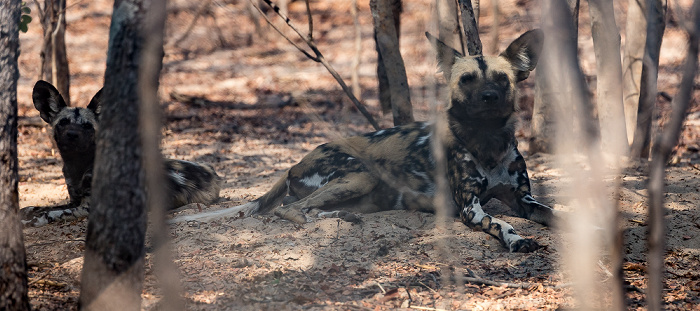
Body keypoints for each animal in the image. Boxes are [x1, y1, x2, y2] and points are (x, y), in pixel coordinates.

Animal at [19, 80, 221, 227]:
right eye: (63, 123)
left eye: (87, 126)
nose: (72, 135)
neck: (78, 166)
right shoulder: (74, 200)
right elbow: (45, 206)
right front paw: (27, 211)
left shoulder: (87, 207)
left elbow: (53, 213)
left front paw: (34, 220)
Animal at [172, 29, 560, 254]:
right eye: (466, 80)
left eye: (501, 79)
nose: (489, 97)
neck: (488, 139)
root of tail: (293, 164)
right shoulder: (470, 207)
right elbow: (502, 223)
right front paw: (516, 239)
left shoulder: (523, 198)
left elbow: (556, 214)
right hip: (361, 175)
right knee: (291, 209)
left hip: (363, 189)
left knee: (307, 207)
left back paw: (342, 216)